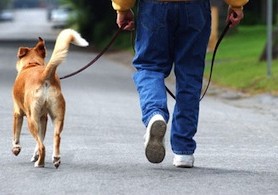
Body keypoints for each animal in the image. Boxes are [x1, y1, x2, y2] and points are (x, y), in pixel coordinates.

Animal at [11, 28, 88, 168]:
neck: (32, 64)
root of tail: (44, 75)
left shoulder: (18, 113)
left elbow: (16, 134)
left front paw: (16, 148)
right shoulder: (44, 118)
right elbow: (41, 138)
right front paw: (35, 155)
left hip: (32, 119)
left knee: (42, 145)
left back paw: (40, 163)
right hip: (57, 117)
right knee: (55, 137)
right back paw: (55, 158)